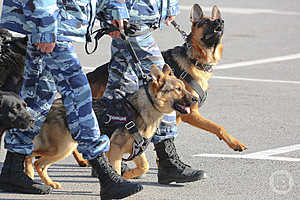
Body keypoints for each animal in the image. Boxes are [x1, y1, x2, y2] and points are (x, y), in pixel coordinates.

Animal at [24, 65, 197, 188]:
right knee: (33, 157)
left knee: (36, 159)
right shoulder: (115, 150)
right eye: (178, 89)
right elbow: (118, 168)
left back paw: (42, 180)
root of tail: (51, 107)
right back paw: (31, 175)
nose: (195, 99)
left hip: (61, 148)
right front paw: (120, 181)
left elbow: (144, 167)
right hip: (62, 148)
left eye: (183, 87)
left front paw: (128, 175)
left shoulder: (135, 150)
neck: (143, 108)